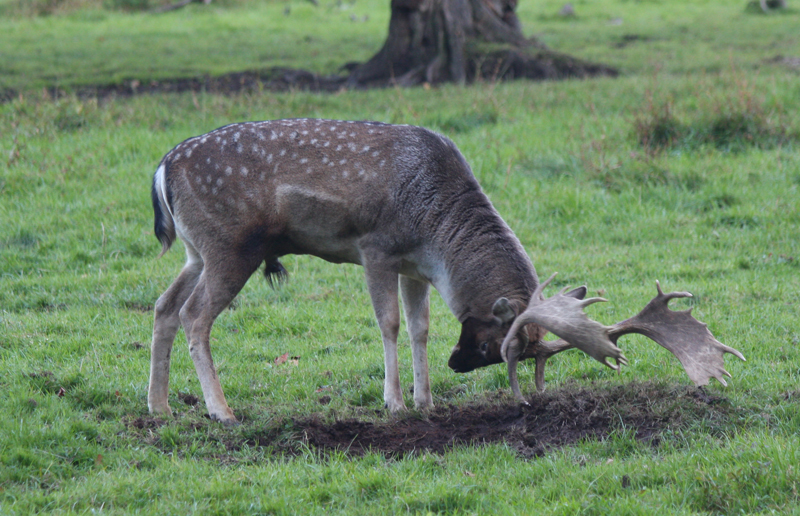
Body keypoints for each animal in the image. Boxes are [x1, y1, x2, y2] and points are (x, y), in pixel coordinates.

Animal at [148, 120, 744, 424]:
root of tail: (161, 168)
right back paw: (222, 411)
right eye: (493, 344)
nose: (459, 365)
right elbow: (388, 324)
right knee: (196, 316)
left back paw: (158, 406)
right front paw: (393, 401)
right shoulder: (376, 247)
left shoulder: (414, 266)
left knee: (163, 307)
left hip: (196, 251)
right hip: (230, 246)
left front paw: (425, 399)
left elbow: (420, 327)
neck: (433, 227)